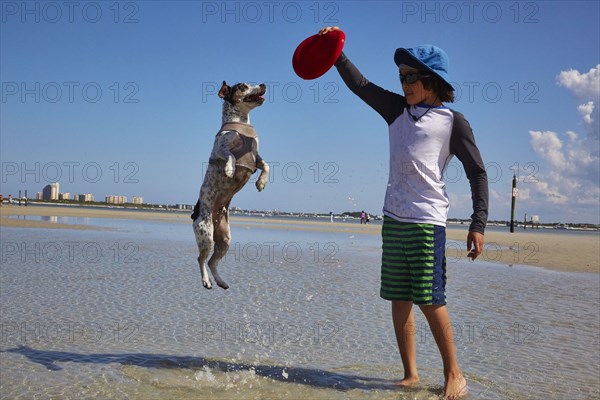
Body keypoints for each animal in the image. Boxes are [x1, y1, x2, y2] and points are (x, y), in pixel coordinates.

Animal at [192, 81, 270, 290]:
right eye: (243, 86)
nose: (263, 84)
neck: (242, 124)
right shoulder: (220, 148)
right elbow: (230, 155)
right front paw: (229, 169)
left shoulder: (256, 158)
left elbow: (266, 165)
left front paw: (261, 182)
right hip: (206, 234)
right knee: (201, 259)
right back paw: (206, 281)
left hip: (225, 239)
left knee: (212, 262)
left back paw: (221, 281)